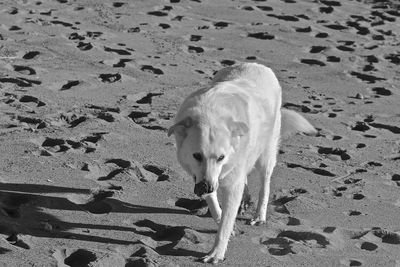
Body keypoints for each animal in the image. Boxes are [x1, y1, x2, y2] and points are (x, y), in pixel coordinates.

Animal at [167, 62, 318, 264]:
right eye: (197, 155)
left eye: (221, 157)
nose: (206, 187)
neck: (210, 115)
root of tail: (256, 64)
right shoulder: (202, 176)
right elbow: (214, 205)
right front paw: (221, 217)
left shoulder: (226, 182)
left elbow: (225, 223)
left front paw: (216, 253)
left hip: (266, 154)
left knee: (265, 184)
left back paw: (259, 215)